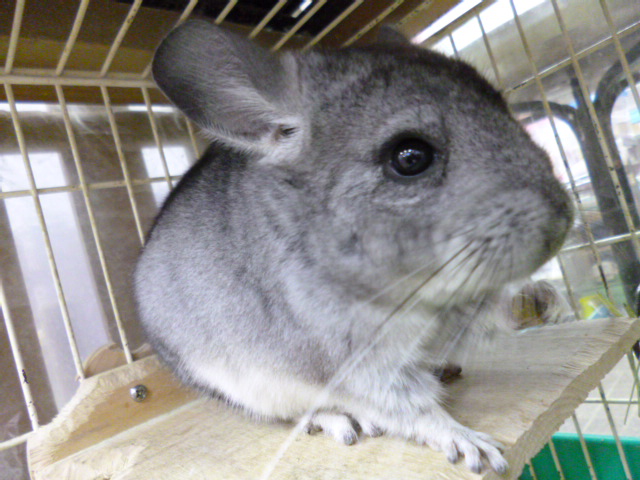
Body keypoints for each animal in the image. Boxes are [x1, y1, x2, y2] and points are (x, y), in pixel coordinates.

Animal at [134, 19, 574, 475]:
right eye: (410, 157)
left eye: (503, 107)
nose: (564, 221)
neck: (417, 289)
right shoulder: (355, 363)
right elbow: (413, 410)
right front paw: (473, 446)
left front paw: (544, 300)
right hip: (248, 390)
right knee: (296, 415)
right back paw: (342, 421)